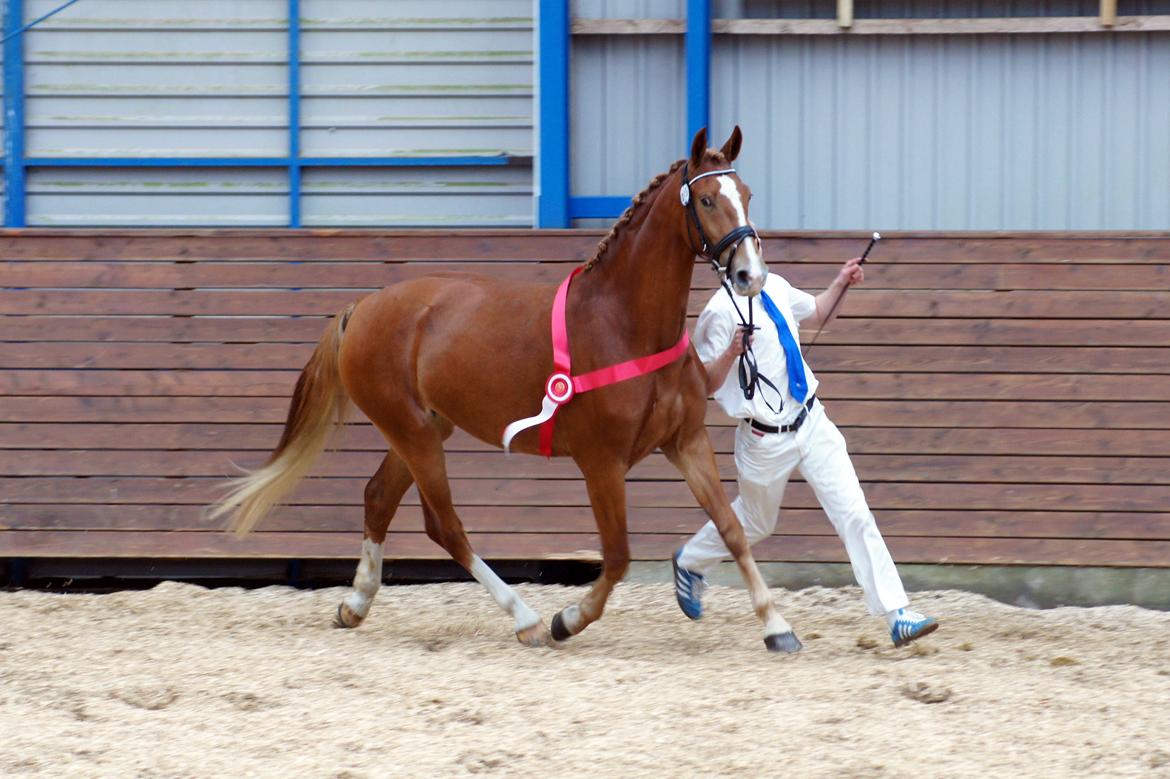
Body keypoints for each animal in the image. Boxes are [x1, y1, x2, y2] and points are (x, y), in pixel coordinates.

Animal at [210, 127, 800, 650]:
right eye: (706, 198)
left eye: (746, 195)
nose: (750, 276)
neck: (624, 325)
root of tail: (363, 308)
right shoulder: (601, 462)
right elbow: (617, 557)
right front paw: (568, 620)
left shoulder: (685, 442)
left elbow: (730, 528)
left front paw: (776, 627)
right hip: (414, 435)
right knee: (445, 525)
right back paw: (528, 620)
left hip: (421, 431)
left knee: (378, 498)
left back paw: (355, 605)